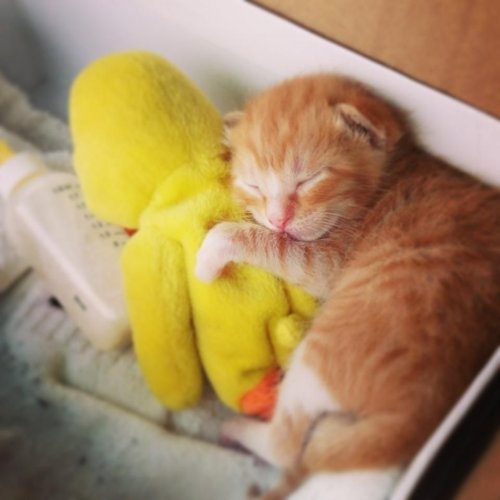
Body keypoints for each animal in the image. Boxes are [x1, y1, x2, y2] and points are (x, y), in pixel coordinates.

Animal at [195, 74, 500, 499]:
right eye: (254, 185)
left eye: (309, 179)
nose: (278, 218)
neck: (392, 172)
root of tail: (424, 413)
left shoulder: (328, 261)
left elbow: (267, 244)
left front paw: (210, 254)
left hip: (322, 351)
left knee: (286, 446)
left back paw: (238, 428)